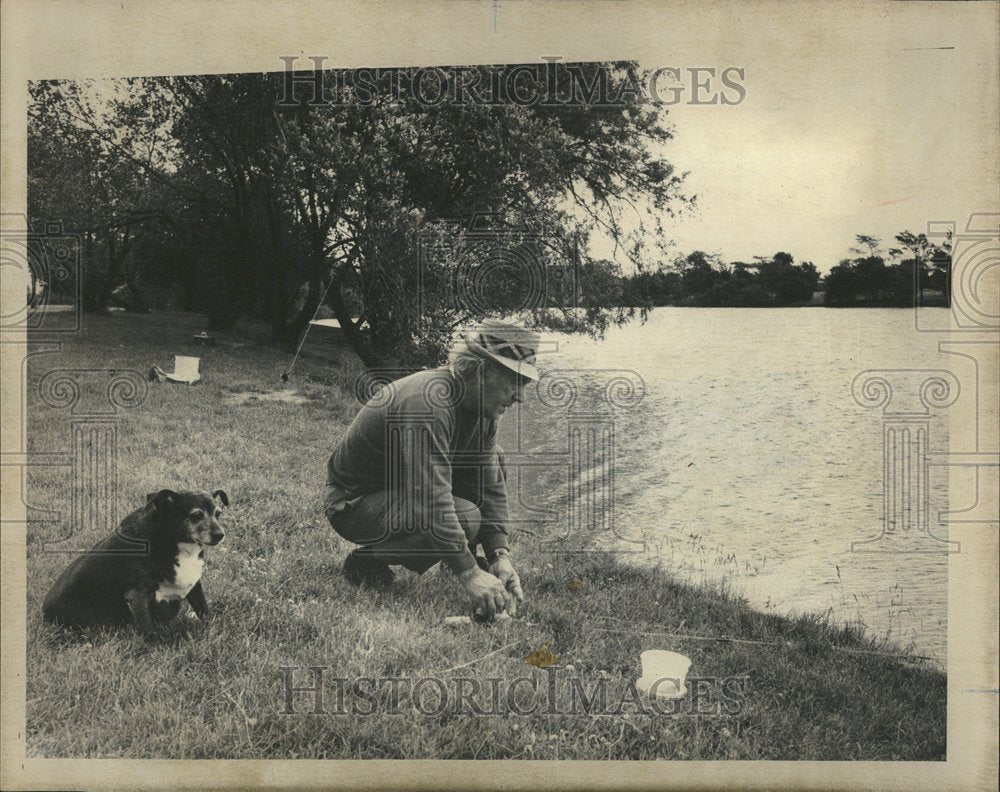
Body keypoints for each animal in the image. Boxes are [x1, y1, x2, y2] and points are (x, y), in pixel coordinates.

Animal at [43, 488, 229, 636]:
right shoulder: (138, 595)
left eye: (218, 514)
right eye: (196, 515)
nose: (220, 535)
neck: (169, 540)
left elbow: (203, 609)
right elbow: (149, 631)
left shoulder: (194, 584)